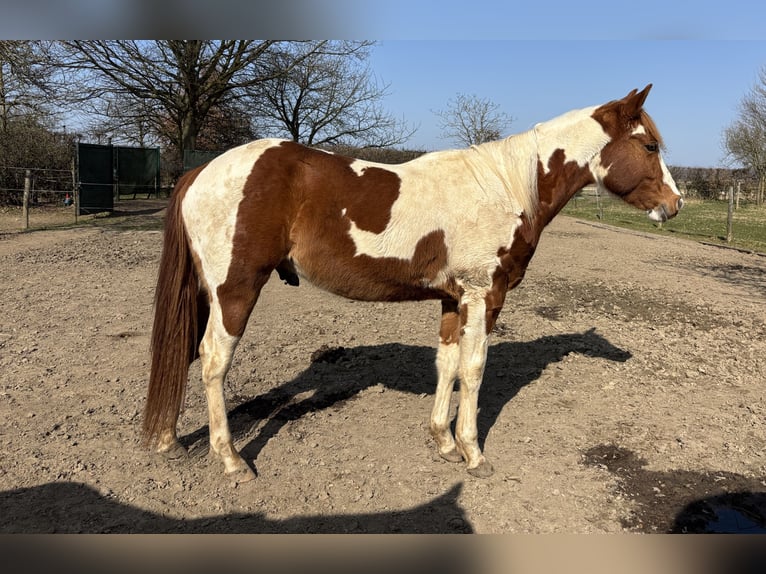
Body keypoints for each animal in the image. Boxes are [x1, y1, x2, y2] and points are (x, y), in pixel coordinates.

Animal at [142, 83, 684, 484]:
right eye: (649, 145)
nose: (674, 204)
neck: (506, 187)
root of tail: (202, 170)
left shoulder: (451, 299)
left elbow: (447, 364)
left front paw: (443, 442)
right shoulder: (483, 296)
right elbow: (474, 369)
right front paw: (473, 452)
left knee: (186, 353)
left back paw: (170, 440)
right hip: (234, 291)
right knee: (213, 360)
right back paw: (231, 459)